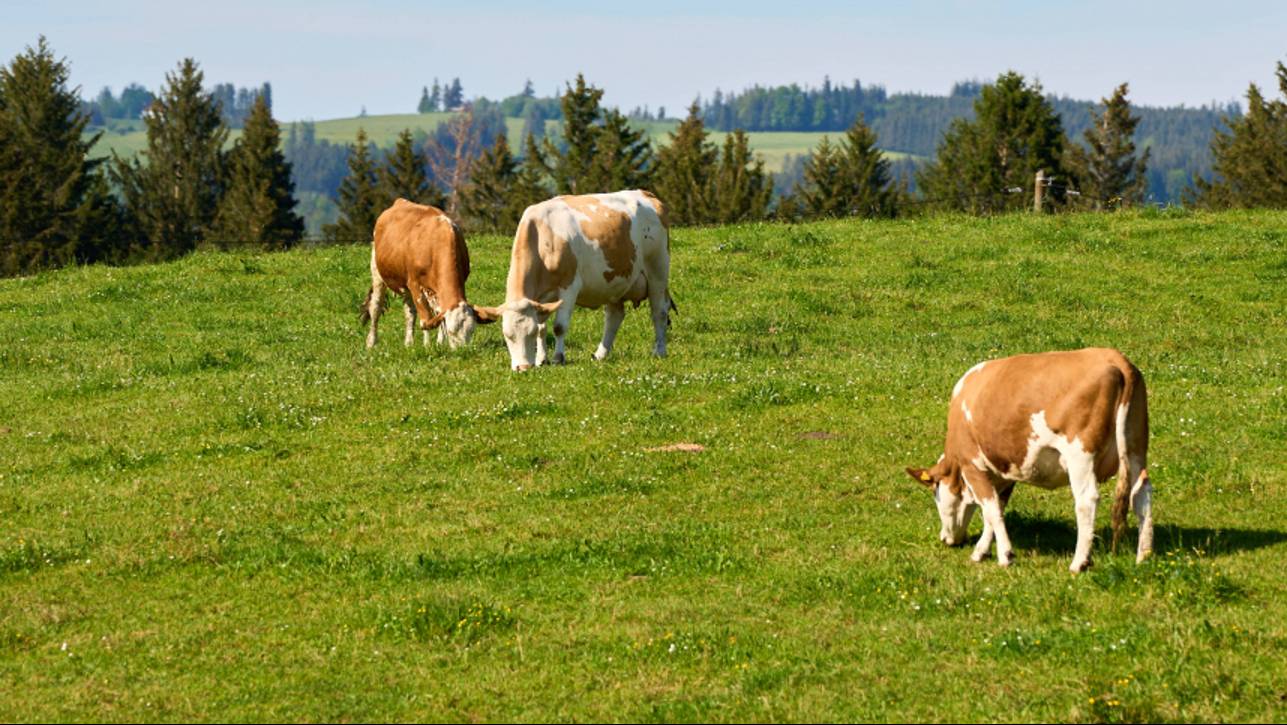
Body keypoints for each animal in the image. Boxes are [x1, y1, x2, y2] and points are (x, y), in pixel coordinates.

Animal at [360, 197, 494, 347]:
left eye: (471, 331)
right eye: (452, 331)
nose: (464, 350)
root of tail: (399, 201)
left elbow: (437, 315)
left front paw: (439, 343)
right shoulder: (414, 284)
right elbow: (426, 320)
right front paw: (428, 346)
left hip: (405, 285)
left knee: (410, 312)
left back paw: (409, 343)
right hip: (377, 272)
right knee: (375, 307)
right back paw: (371, 342)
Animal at [476, 190, 674, 370]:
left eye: (529, 333)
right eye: (507, 335)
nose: (523, 368)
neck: (542, 236)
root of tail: (646, 194)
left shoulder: (569, 287)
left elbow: (558, 327)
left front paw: (558, 358)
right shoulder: (540, 300)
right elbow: (543, 328)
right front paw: (541, 360)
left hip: (658, 269)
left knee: (659, 311)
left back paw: (659, 351)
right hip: (614, 282)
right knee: (614, 316)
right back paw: (601, 354)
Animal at [906, 347, 1158, 574]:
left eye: (935, 494)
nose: (945, 539)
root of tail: (1114, 357)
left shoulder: (972, 464)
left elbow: (990, 509)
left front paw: (1005, 555)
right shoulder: (1004, 472)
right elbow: (995, 509)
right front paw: (982, 550)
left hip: (1080, 453)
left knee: (1086, 500)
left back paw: (1079, 563)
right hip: (1136, 448)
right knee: (1141, 494)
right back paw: (1143, 556)